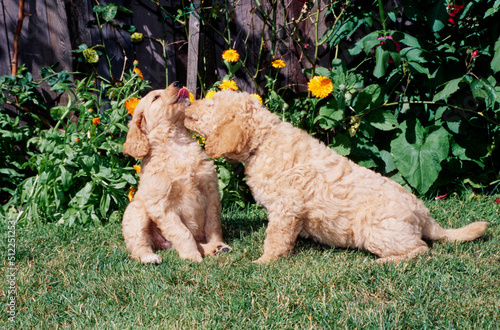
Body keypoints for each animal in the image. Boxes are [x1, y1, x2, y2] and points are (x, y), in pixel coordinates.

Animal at [122, 83, 231, 266]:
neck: (176, 144)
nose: (178, 83)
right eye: (156, 97)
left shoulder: (211, 194)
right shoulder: (162, 206)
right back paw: (149, 257)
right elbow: (183, 232)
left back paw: (215, 248)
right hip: (136, 211)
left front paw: (217, 243)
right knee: (139, 245)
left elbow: (213, 226)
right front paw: (192, 256)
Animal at [185, 89, 488, 262]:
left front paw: (264, 262)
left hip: (375, 228)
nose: (186, 106)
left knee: (421, 250)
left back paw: (384, 262)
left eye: (210, 105)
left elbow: (276, 238)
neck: (264, 141)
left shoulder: (286, 209)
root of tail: (424, 214)